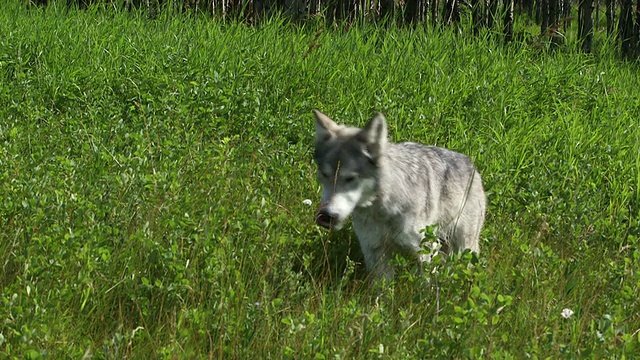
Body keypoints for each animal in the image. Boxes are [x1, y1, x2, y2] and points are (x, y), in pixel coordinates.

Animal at [314, 109, 484, 282]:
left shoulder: (424, 250)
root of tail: (472, 166)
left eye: (350, 178)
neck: (383, 209)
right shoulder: (375, 251)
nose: (325, 216)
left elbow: (424, 285)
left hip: (464, 247)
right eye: (324, 174)